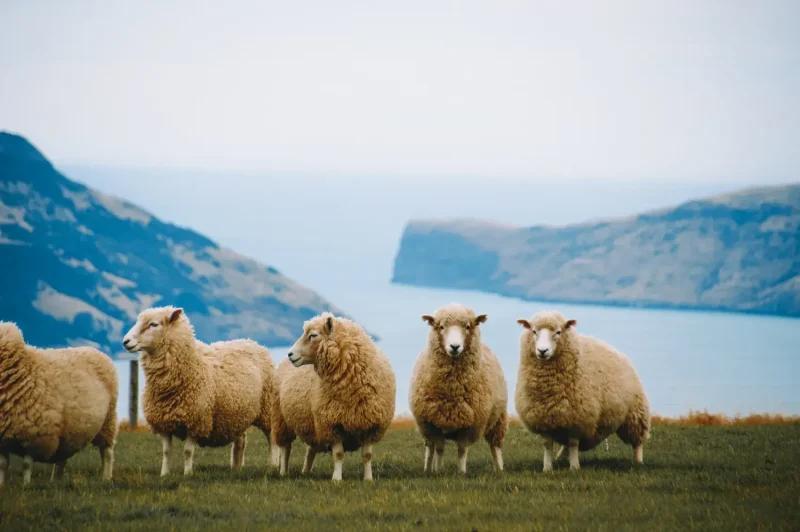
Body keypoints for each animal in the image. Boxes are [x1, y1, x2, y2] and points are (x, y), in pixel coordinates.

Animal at [0, 322, 117, 486]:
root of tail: (94, 350)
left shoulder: (34, 436)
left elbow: (26, 465)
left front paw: (26, 485)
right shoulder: (3, 439)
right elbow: (3, 465)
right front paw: (1, 484)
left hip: (108, 421)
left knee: (106, 452)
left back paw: (106, 477)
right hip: (69, 431)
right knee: (62, 457)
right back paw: (56, 480)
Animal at [122, 306, 275, 477]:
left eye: (153, 324)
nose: (125, 341)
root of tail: (252, 342)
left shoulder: (196, 420)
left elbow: (188, 451)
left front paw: (188, 474)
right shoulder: (164, 423)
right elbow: (166, 452)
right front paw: (164, 474)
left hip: (267, 408)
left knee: (272, 439)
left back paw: (273, 465)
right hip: (238, 413)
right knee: (241, 441)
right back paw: (236, 468)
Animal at [272, 312, 396, 481]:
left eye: (313, 335)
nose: (290, 354)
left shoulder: (370, 424)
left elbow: (367, 455)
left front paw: (368, 478)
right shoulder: (332, 423)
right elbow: (338, 454)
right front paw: (336, 479)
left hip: (311, 423)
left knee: (310, 450)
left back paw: (306, 472)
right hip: (282, 419)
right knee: (286, 448)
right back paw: (284, 472)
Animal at [409, 303, 508, 475]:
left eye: (467, 326)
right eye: (441, 327)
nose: (454, 347)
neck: (452, 389)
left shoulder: (470, 424)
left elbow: (462, 450)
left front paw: (461, 472)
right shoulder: (433, 422)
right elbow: (439, 449)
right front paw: (438, 471)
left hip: (498, 419)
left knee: (495, 446)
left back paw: (499, 469)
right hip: (426, 427)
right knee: (430, 448)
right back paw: (428, 469)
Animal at [515, 311, 650, 471]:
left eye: (558, 332)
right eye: (534, 331)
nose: (542, 351)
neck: (549, 388)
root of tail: (619, 353)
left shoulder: (578, 418)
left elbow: (573, 443)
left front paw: (574, 468)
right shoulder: (543, 418)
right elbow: (547, 444)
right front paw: (547, 468)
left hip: (635, 413)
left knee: (637, 441)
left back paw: (638, 461)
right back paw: (561, 457)